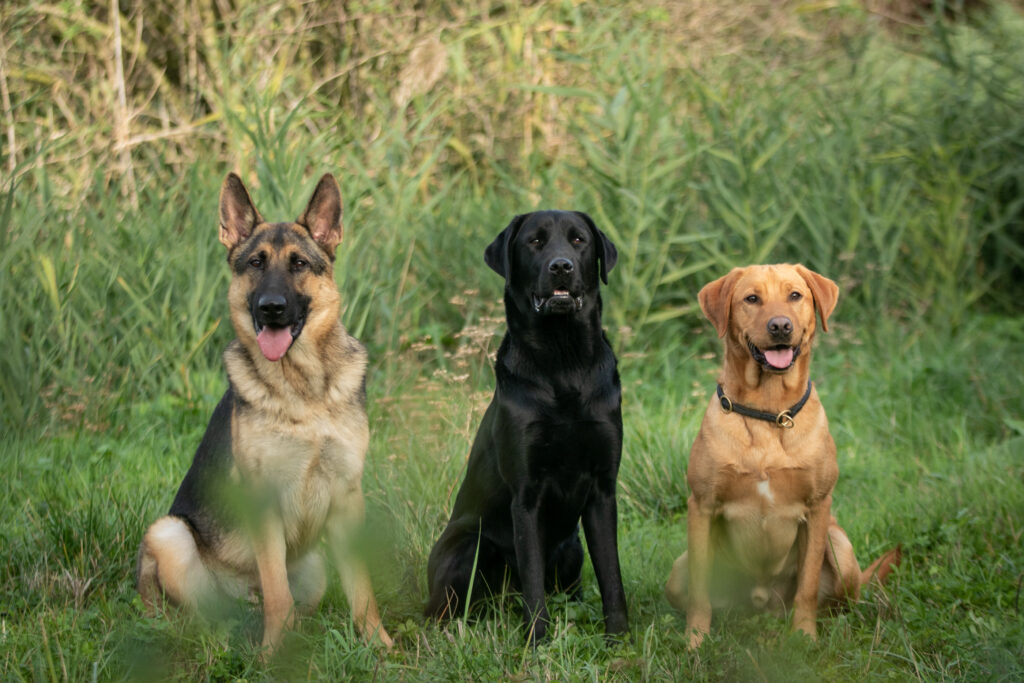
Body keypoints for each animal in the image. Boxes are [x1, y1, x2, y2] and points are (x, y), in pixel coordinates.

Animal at [134, 174, 389, 655]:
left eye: (299, 264)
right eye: (255, 263)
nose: (270, 307)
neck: (303, 391)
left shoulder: (348, 497)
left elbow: (363, 588)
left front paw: (379, 644)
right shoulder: (263, 502)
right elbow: (276, 593)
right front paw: (273, 655)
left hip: (314, 568)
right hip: (169, 534)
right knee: (206, 613)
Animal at [421, 208, 626, 643]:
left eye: (579, 240)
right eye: (534, 241)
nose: (561, 266)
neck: (563, 361)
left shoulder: (603, 490)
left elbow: (611, 576)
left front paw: (619, 638)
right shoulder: (526, 496)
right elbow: (532, 581)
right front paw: (538, 643)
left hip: (571, 549)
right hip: (469, 546)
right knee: (442, 608)